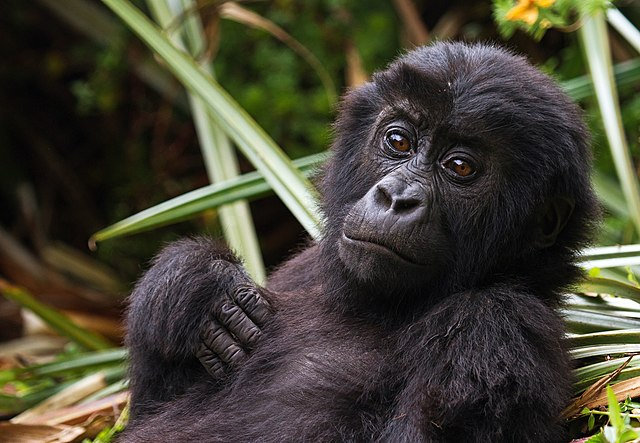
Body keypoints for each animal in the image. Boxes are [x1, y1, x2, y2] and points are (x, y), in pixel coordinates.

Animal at [126, 42, 600, 443]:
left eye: (460, 167)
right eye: (398, 140)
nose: (397, 198)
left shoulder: (495, 329)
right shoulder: (304, 267)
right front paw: (192, 281)